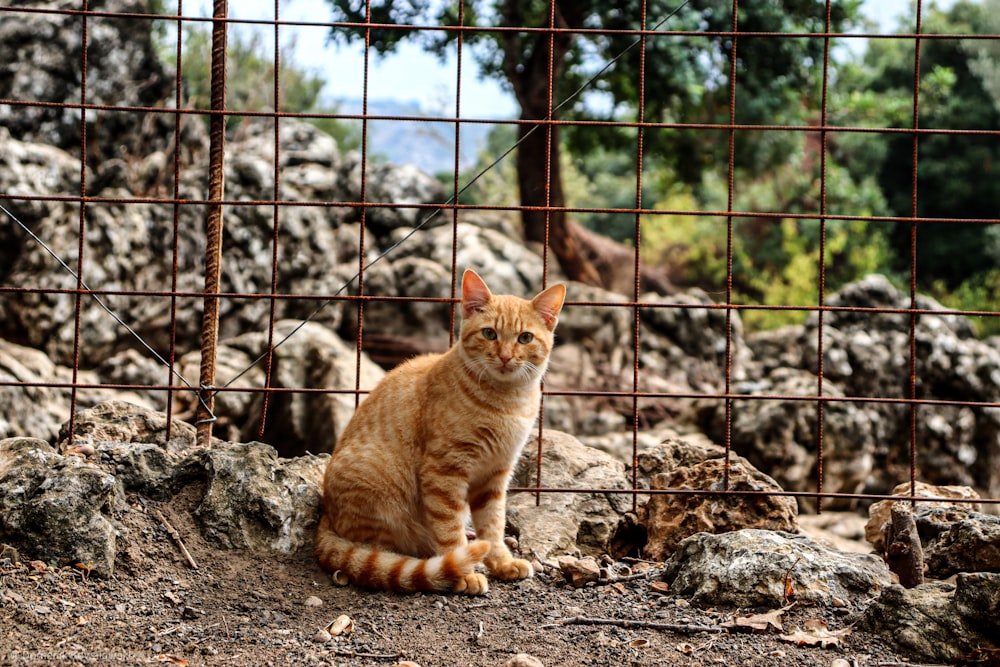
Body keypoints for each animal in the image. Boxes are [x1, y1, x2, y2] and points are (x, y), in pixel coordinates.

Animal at [316, 270, 568, 596]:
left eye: (524, 338)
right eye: (489, 334)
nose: (505, 356)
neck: (507, 402)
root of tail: (326, 515)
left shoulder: (496, 475)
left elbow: (494, 525)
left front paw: (501, 562)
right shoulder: (444, 471)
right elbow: (450, 529)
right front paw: (464, 572)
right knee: (377, 553)